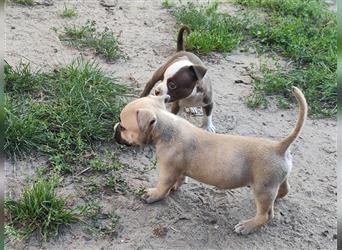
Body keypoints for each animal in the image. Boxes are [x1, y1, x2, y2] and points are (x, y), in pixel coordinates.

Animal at [114, 86, 308, 234]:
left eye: (123, 126)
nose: (114, 128)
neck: (165, 126)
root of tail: (279, 147)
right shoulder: (178, 170)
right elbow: (180, 180)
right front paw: (175, 187)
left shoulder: (168, 170)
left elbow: (163, 187)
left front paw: (154, 195)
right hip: (273, 181)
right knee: (284, 189)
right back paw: (277, 198)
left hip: (262, 188)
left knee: (266, 215)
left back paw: (247, 226)